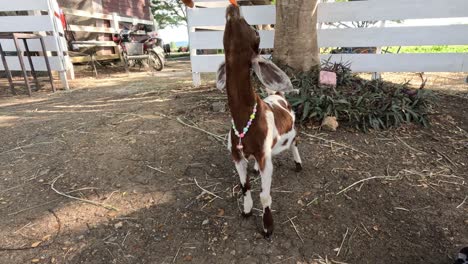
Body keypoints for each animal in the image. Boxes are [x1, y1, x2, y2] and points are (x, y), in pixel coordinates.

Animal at [217, 4, 304, 236]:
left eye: (257, 33)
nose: (234, 6)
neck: (244, 120)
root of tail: (278, 95)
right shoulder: (236, 154)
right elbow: (244, 186)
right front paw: (246, 211)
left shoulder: (265, 156)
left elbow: (265, 194)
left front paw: (267, 226)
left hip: (292, 130)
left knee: (294, 143)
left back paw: (298, 163)